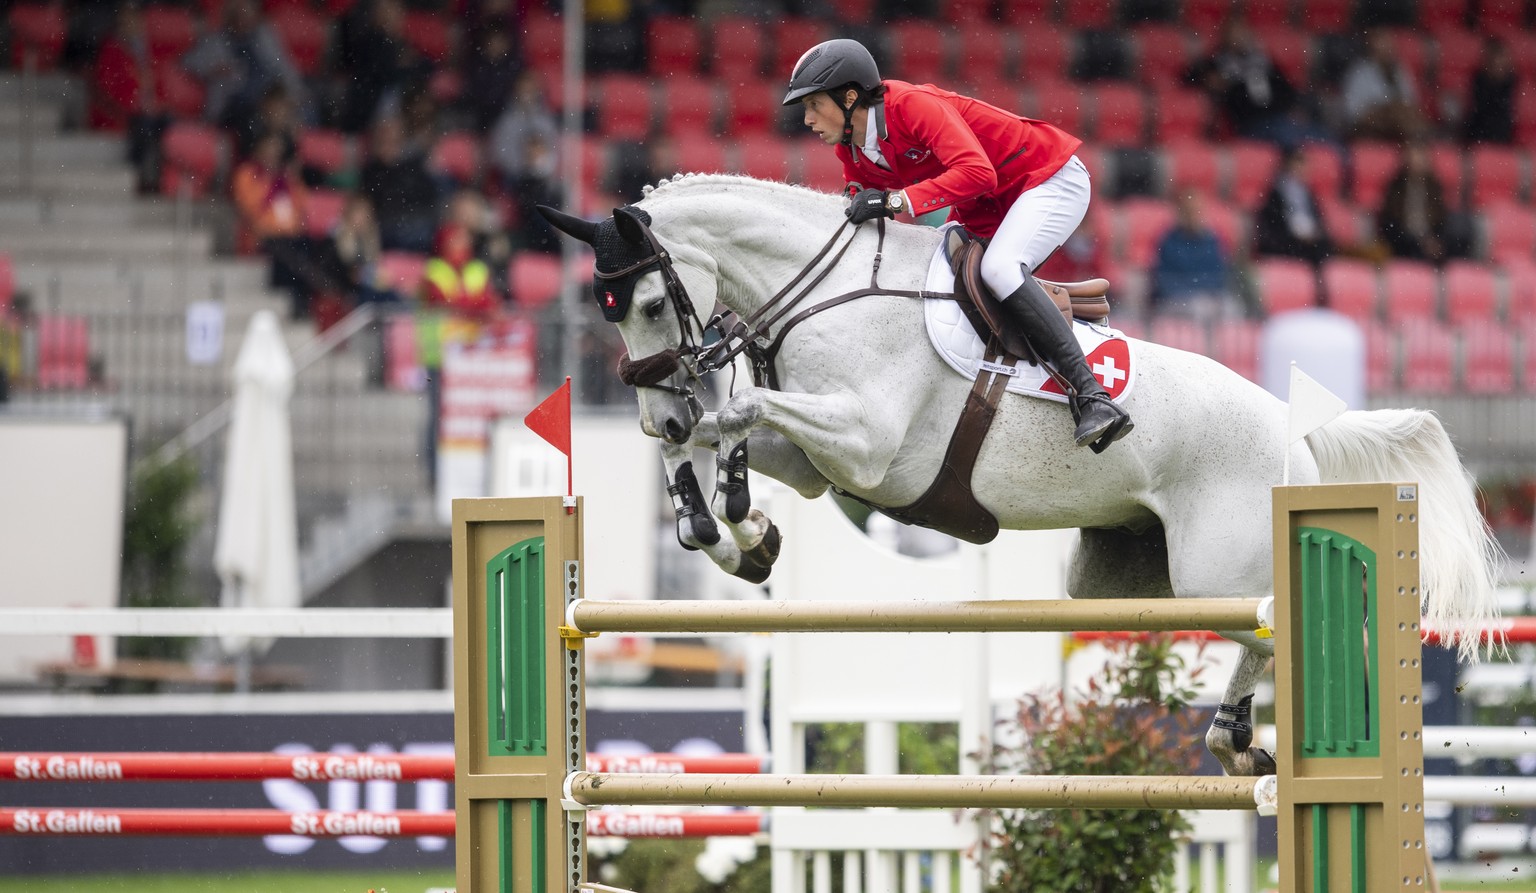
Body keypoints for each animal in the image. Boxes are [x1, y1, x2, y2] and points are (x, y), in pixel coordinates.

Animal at [537, 174, 1499, 771]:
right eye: (605, 309)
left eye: (650, 302)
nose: (659, 408)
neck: (823, 292)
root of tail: (1297, 431)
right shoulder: (819, 465)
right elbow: (730, 432)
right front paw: (734, 529)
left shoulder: (867, 445)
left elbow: (742, 409)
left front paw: (730, 509)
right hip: (1113, 579)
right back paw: (1237, 740)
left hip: (1216, 571)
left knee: (1274, 631)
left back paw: (1243, 739)